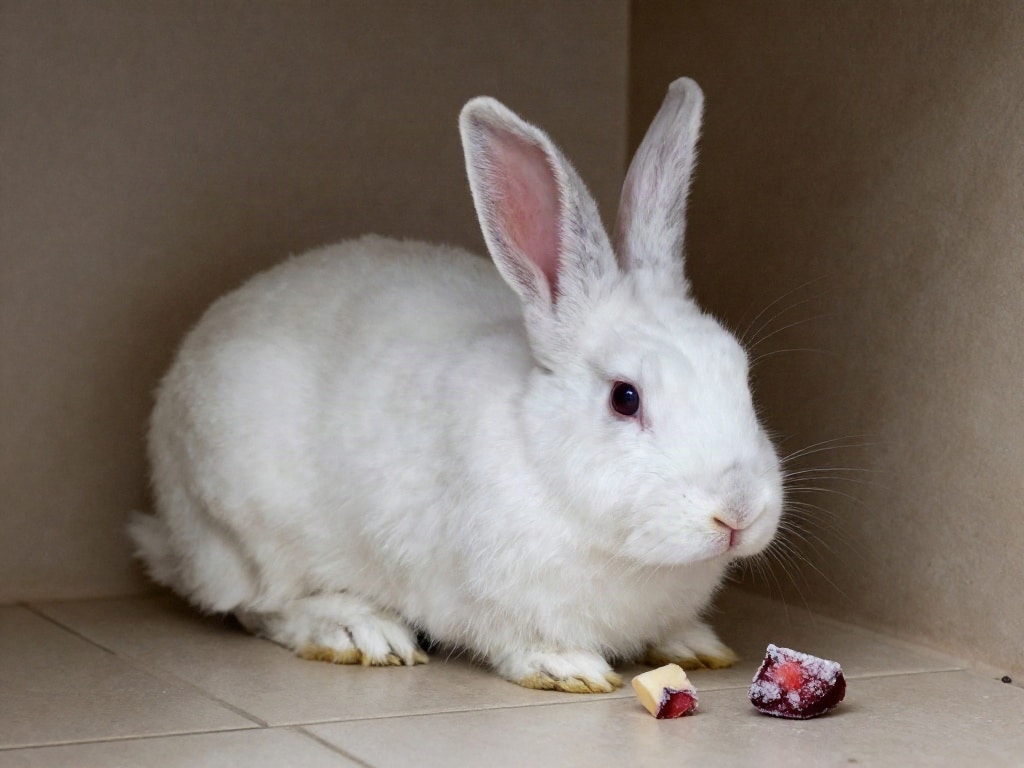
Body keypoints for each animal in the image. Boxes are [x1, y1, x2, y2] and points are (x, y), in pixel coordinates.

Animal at [129, 77, 783, 693]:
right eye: (625, 397)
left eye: (740, 372)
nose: (738, 513)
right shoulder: (489, 597)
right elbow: (516, 639)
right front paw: (569, 668)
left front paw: (695, 645)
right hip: (248, 528)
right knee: (258, 606)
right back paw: (359, 631)